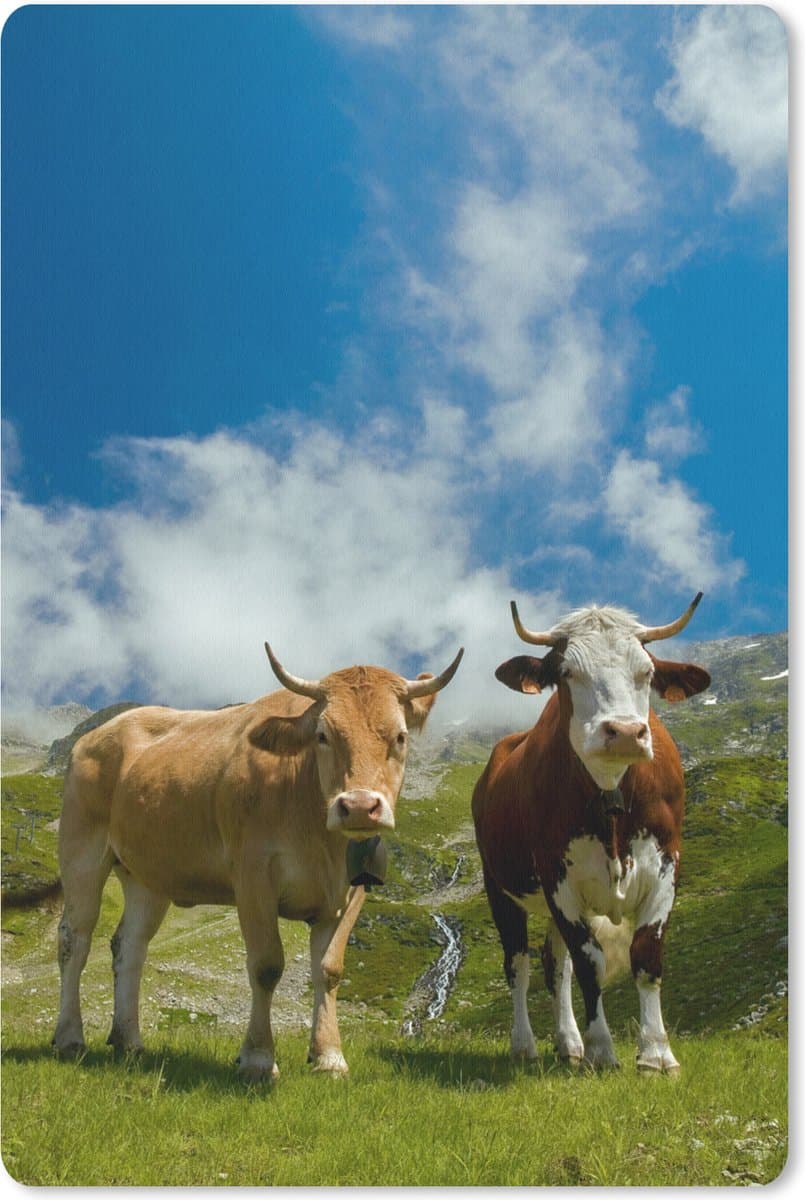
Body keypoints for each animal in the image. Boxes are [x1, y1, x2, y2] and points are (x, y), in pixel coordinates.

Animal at [53, 642, 463, 1080]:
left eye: (400, 737)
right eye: (323, 735)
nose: (357, 806)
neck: (320, 835)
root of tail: (99, 734)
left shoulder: (352, 892)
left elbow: (329, 971)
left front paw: (329, 1056)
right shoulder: (252, 876)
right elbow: (266, 966)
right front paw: (258, 1058)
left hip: (147, 875)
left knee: (130, 947)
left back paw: (129, 1040)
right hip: (82, 850)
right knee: (74, 940)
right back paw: (70, 1037)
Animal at [472, 595, 710, 1074]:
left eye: (648, 672)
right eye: (567, 672)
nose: (624, 732)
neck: (611, 791)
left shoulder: (666, 866)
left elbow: (646, 955)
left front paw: (656, 1053)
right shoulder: (558, 878)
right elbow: (590, 962)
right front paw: (603, 1049)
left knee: (554, 964)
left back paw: (568, 1043)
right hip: (500, 888)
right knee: (520, 964)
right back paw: (525, 1044)